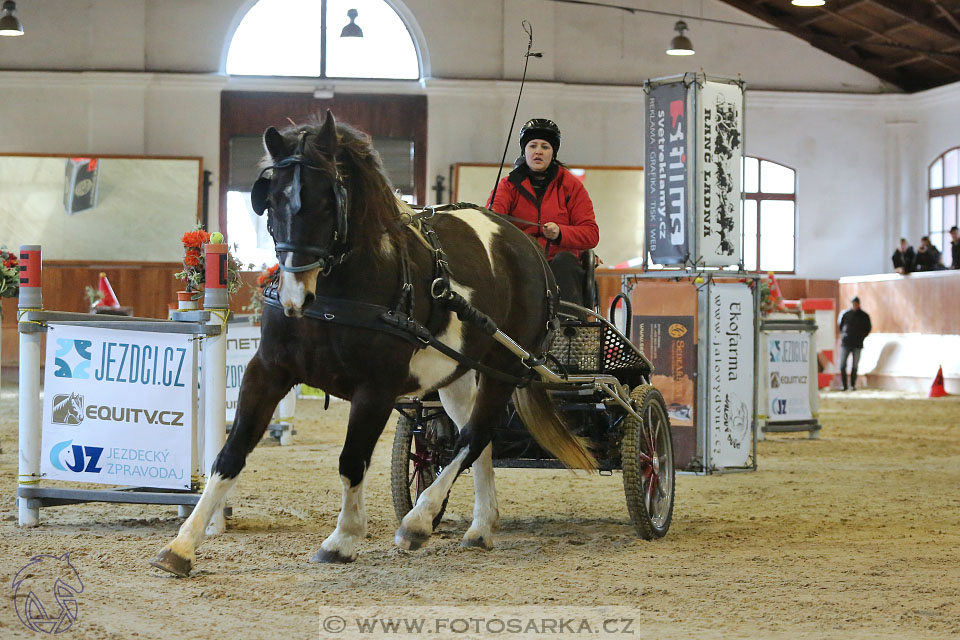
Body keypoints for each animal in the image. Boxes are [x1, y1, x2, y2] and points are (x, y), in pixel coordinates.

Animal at [150, 109, 592, 576]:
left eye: (329, 201)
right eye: (270, 201)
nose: (294, 297)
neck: (336, 293)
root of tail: (527, 244)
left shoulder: (376, 388)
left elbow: (351, 459)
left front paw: (342, 539)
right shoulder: (268, 370)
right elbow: (231, 453)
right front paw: (182, 545)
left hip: (505, 369)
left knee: (473, 436)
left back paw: (418, 522)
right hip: (458, 373)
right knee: (476, 439)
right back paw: (481, 527)